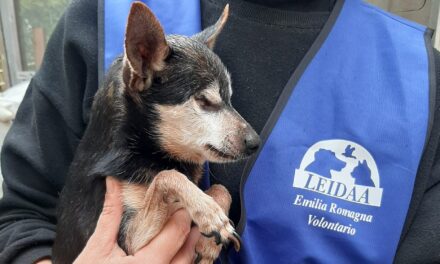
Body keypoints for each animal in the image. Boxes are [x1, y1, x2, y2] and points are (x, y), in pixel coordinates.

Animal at [52, 2, 260, 264]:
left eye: (230, 99)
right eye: (204, 100)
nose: (256, 143)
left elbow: (219, 188)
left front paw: (209, 239)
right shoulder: (129, 243)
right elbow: (167, 176)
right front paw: (209, 214)